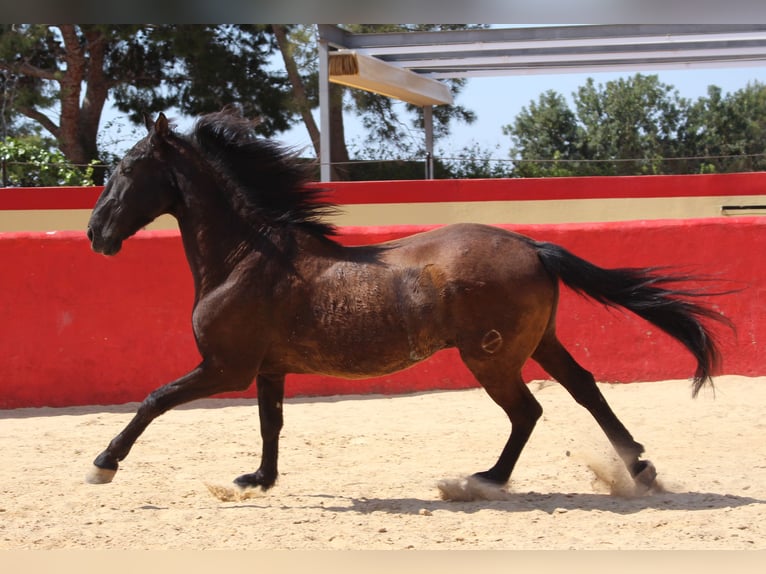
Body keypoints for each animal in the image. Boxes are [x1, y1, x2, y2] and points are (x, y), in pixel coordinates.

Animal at [85, 108, 732, 496]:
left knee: (528, 411)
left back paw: (485, 481)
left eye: (126, 166)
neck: (246, 257)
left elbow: (154, 400)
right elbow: (272, 423)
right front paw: (258, 479)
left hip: (492, 357)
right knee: (584, 389)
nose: (96, 234)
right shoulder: (267, 369)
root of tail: (532, 246)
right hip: (538, 344)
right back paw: (638, 468)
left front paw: (103, 465)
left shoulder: (225, 367)